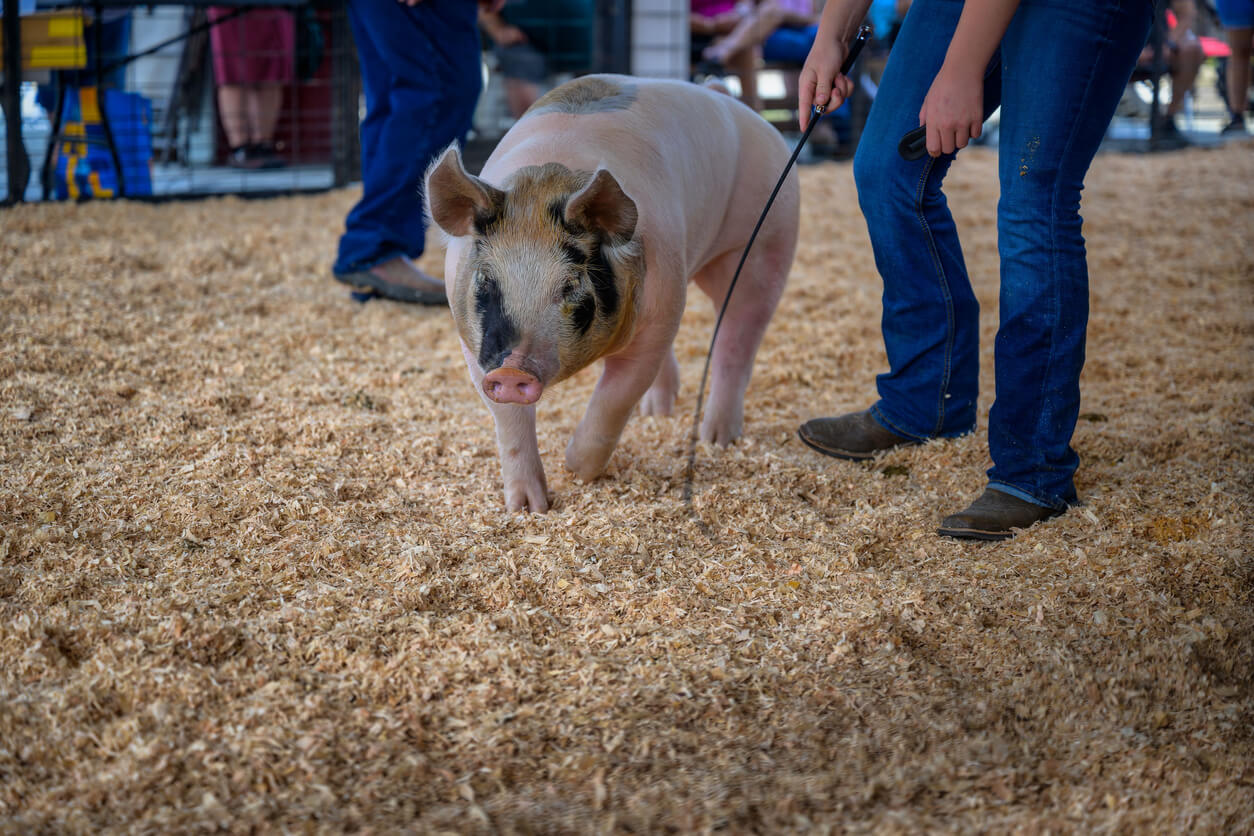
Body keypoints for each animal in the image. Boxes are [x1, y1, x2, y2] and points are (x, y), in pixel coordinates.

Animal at [425, 74, 798, 512]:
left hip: (765, 244)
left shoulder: (652, 326)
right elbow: (509, 419)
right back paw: (657, 415)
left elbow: (614, 399)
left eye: (570, 283)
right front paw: (529, 509)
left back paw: (717, 440)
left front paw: (573, 468)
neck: (545, 182)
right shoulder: (475, 345)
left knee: (737, 338)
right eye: (485, 277)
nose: (512, 370)